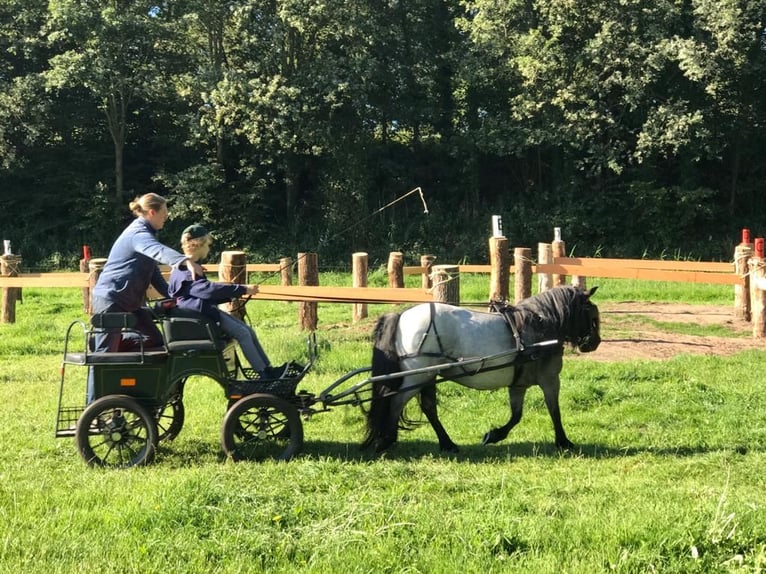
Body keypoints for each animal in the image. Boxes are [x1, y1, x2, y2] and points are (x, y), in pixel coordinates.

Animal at [364, 286, 604, 454]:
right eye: (592, 315)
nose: (594, 343)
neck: (539, 326)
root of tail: (402, 316)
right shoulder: (550, 379)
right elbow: (554, 410)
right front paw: (563, 441)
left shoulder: (519, 384)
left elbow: (516, 415)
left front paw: (495, 435)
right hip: (418, 376)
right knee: (396, 401)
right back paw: (387, 440)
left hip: (428, 375)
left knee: (429, 407)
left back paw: (447, 443)